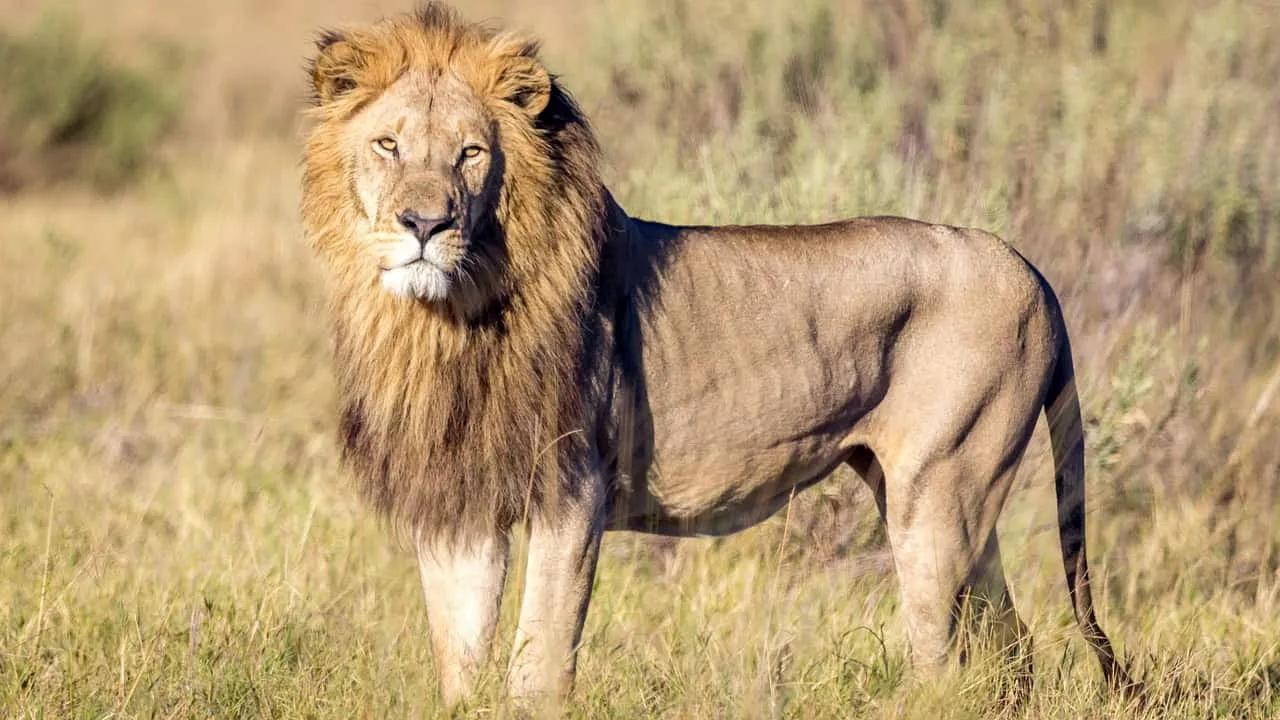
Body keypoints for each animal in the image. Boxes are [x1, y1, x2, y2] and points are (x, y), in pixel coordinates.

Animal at [301, 3, 1131, 707]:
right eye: (388, 145)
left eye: (471, 154)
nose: (424, 224)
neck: (445, 319)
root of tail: (1027, 266)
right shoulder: (461, 501)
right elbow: (460, 660)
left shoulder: (573, 489)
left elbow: (539, 662)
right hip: (952, 507)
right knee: (1011, 649)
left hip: (940, 497)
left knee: (945, 661)